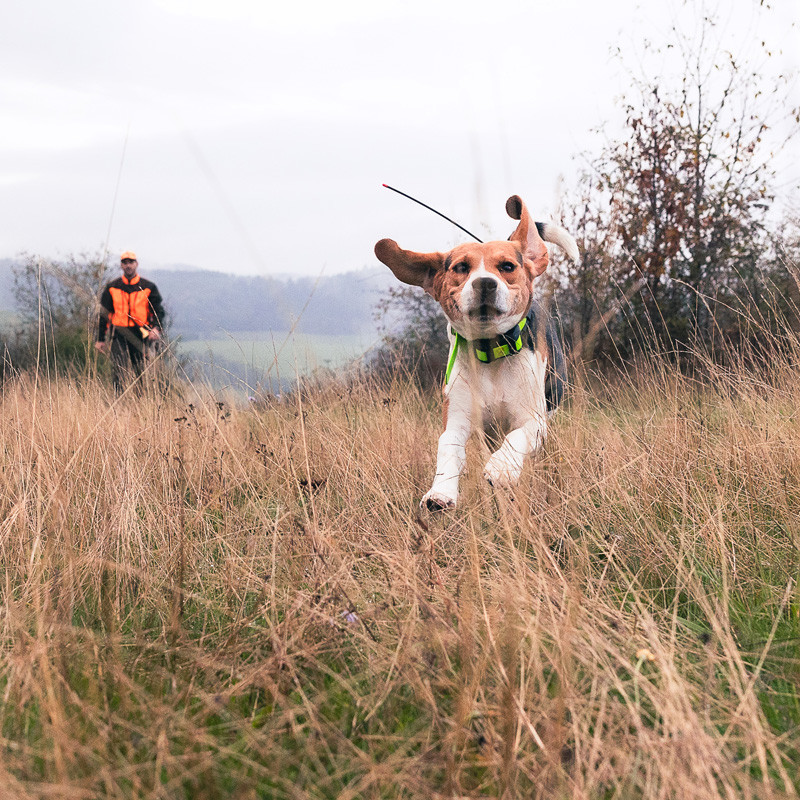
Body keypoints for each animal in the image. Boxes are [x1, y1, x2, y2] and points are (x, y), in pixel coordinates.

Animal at [376, 198, 580, 512]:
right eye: (461, 267)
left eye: (507, 266)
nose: (485, 283)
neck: (491, 350)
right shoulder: (457, 418)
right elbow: (447, 448)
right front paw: (440, 491)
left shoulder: (534, 419)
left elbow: (519, 435)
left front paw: (502, 467)